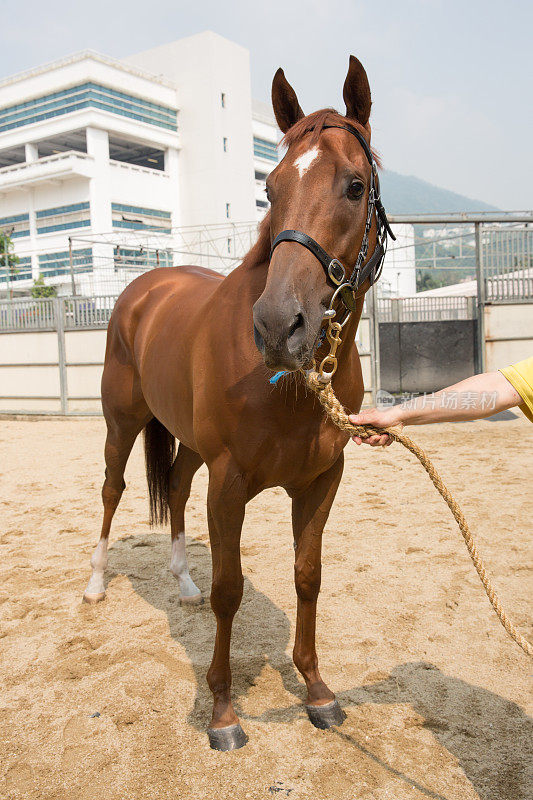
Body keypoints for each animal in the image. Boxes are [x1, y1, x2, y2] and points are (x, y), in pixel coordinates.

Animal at [85, 56, 388, 752]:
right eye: (270, 189)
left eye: (355, 186)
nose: (279, 326)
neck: (285, 387)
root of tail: (143, 287)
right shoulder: (230, 482)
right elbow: (231, 589)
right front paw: (223, 713)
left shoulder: (321, 480)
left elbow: (308, 576)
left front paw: (317, 690)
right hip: (122, 425)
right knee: (113, 491)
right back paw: (93, 584)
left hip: (189, 443)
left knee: (173, 484)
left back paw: (182, 582)